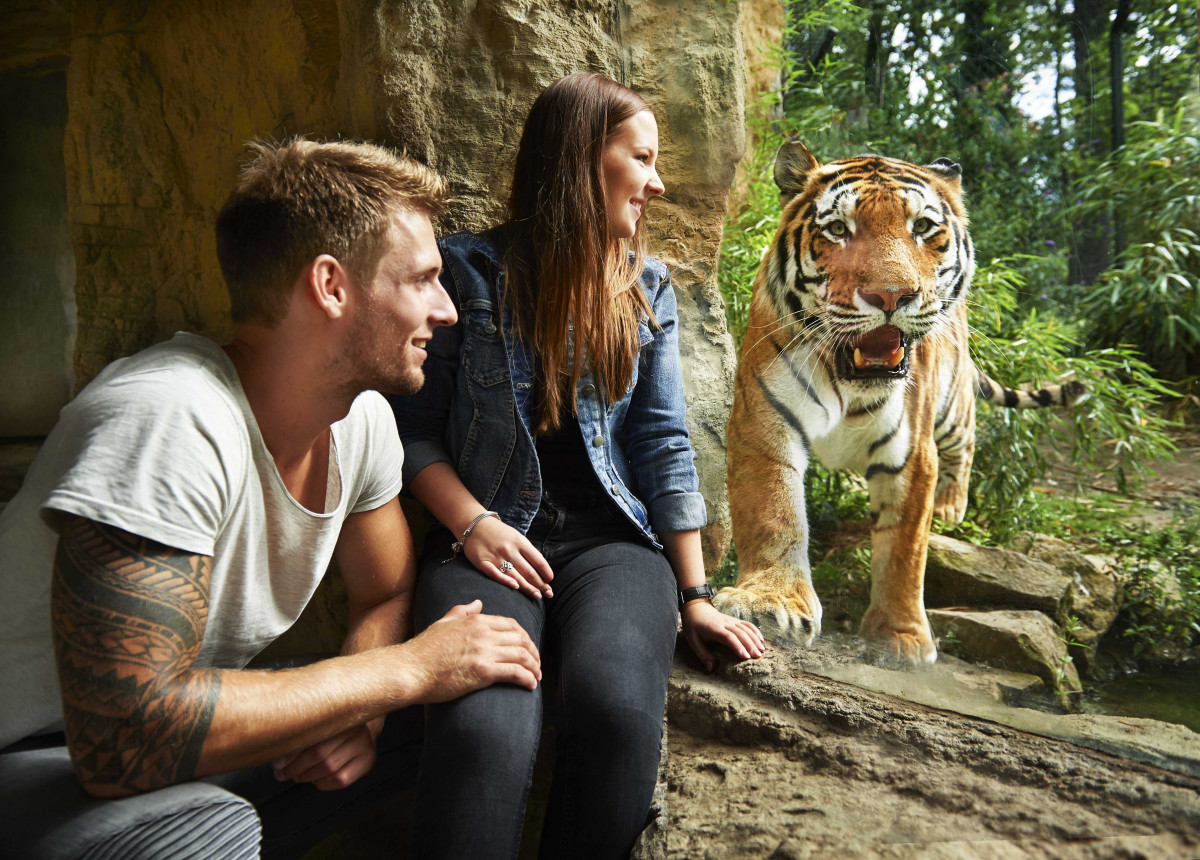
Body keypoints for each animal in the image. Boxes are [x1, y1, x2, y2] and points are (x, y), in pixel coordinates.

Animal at [710, 142, 1089, 662]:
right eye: (838, 229)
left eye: (923, 227)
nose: (890, 296)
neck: (850, 383)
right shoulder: (764, 421)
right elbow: (773, 513)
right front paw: (772, 603)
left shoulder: (913, 454)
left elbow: (905, 550)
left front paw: (901, 637)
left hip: (953, 409)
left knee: (966, 445)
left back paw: (950, 507)